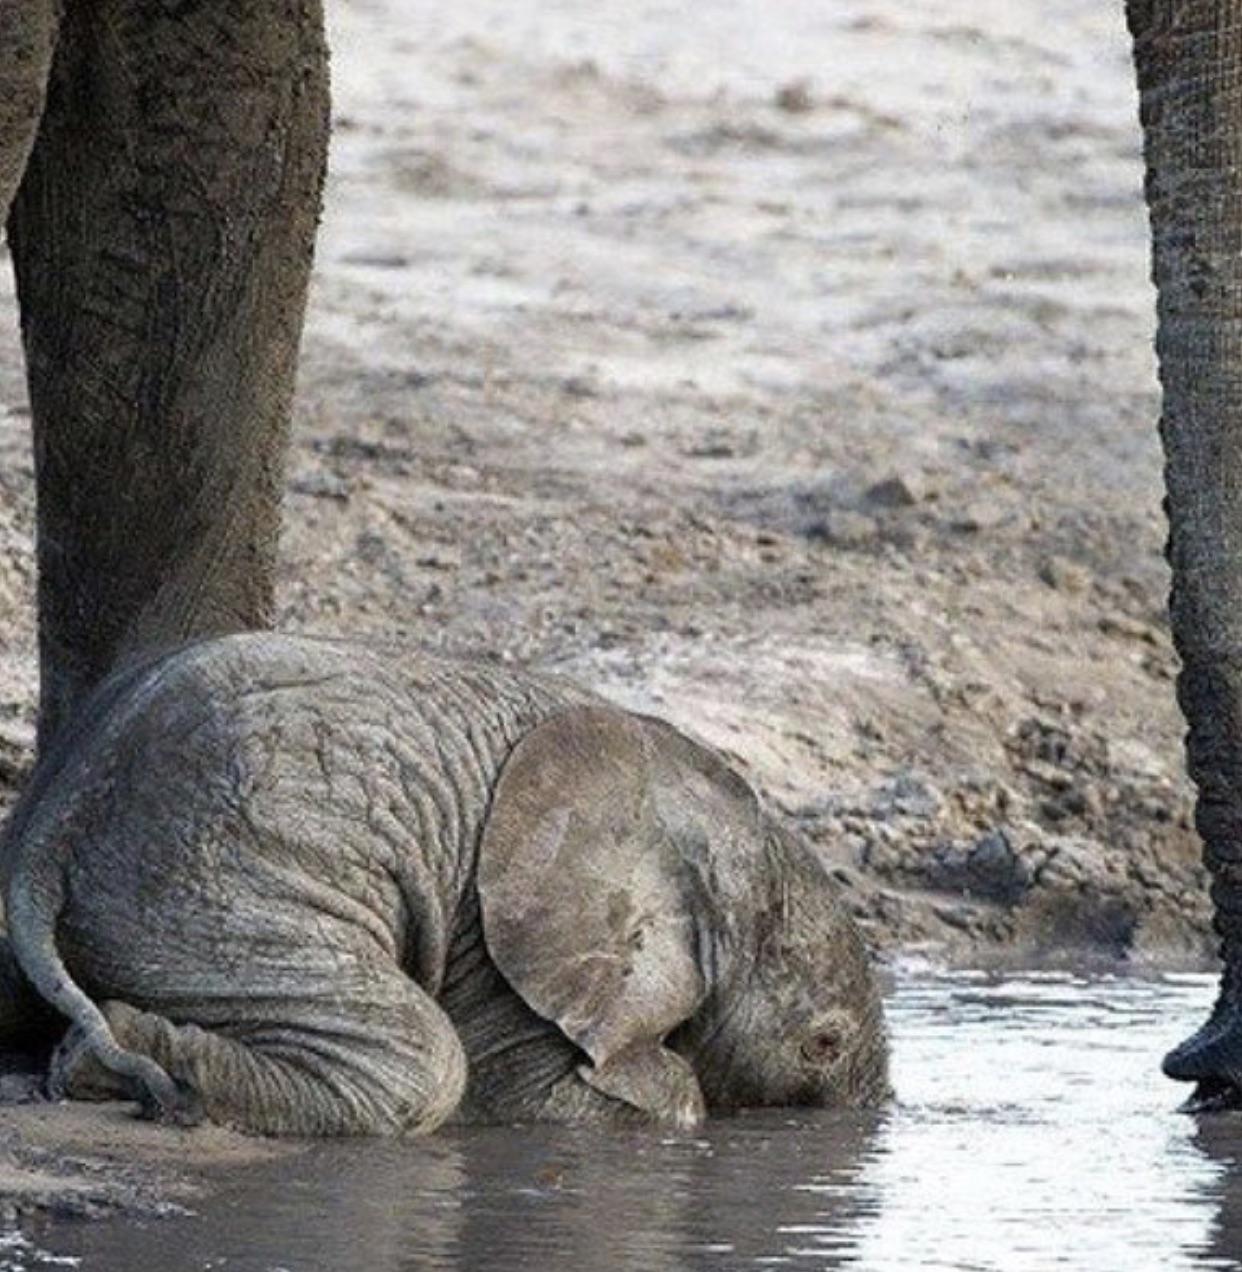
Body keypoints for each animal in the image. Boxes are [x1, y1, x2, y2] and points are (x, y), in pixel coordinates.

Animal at [2, 630, 890, 1139]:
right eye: (822, 1044)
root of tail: (56, 821)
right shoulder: (504, 942)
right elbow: (548, 1095)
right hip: (222, 884)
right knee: (421, 1064)